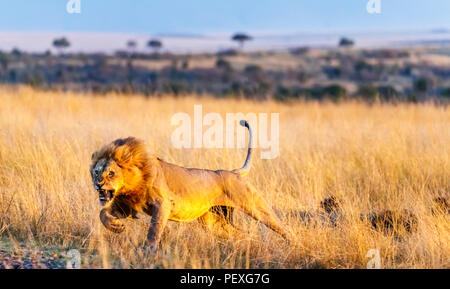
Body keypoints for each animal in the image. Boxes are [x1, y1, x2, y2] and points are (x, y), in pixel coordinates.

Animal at [89, 119, 290, 250]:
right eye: (96, 172)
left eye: (111, 173)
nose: (98, 185)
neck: (132, 184)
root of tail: (233, 172)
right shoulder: (126, 206)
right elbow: (102, 213)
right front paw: (116, 226)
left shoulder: (163, 204)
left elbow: (154, 229)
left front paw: (148, 251)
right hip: (213, 222)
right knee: (241, 233)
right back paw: (247, 245)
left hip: (255, 206)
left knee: (282, 227)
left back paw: (293, 244)